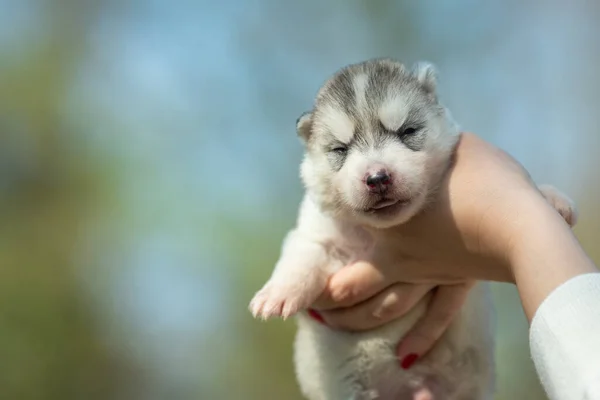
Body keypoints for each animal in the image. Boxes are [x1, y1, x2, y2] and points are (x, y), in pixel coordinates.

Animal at [247, 57, 576, 400]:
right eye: (340, 149)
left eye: (407, 131)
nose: (377, 178)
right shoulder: (316, 231)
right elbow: (302, 256)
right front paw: (277, 293)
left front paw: (551, 197)